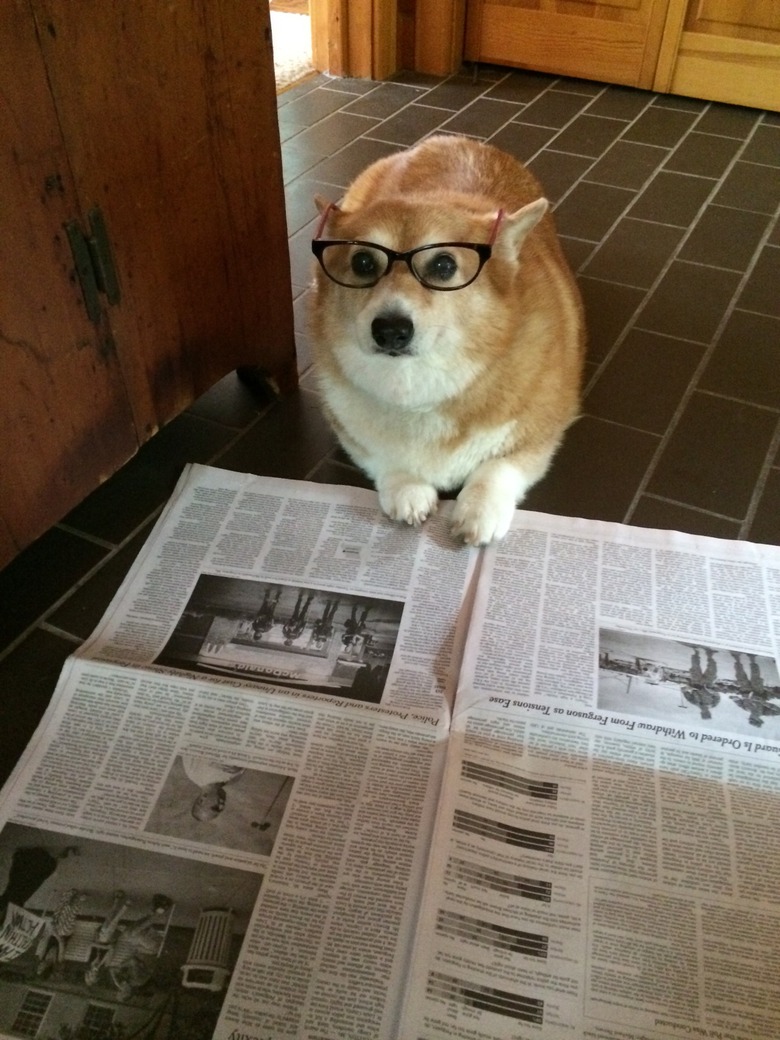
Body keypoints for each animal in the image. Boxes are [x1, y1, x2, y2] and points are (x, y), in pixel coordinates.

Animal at [307, 134, 582, 549]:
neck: (418, 387)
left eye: (444, 265)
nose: (390, 330)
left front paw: (479, 511)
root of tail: (450, 139)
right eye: (363, 263)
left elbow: (500, 466)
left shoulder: (540, 433)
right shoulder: (347, 427)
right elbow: (382, 458)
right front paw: (407, 491)